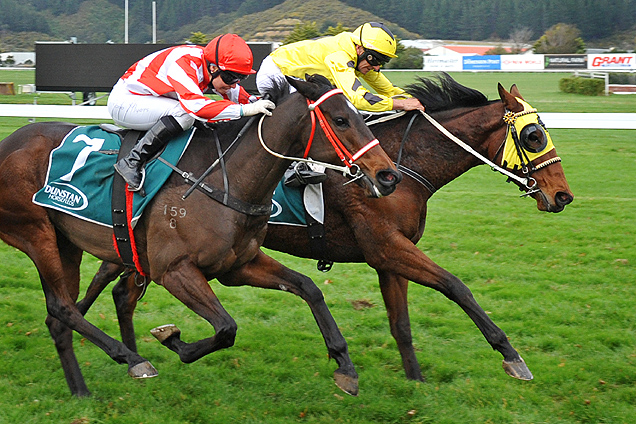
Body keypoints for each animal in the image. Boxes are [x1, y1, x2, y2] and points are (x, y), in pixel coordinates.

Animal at [0, 73, 400, 398]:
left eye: (361, 114)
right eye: (341, 120)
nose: (388, 176)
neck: (225, 180)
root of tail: (9, 143)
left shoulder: (238, 266)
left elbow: (309, 288)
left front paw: (345, 367)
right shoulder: (174, 270)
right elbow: (226, 328)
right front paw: (172, 339)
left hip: (66, 241)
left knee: (59, 316)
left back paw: (81, 388)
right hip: (36, 233)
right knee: (61, 306)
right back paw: (132, 358)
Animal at [78, 73, 572, 384]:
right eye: (533, 136)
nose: (564, 196)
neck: (406, 165)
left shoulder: (387, 257)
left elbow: (401, 324)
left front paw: (415, 381)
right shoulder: (387, 246)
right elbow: (456, 286)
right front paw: (511, 356)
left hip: (139, 252)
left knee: (119, 292)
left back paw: (126, 353)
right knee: (105, 286)